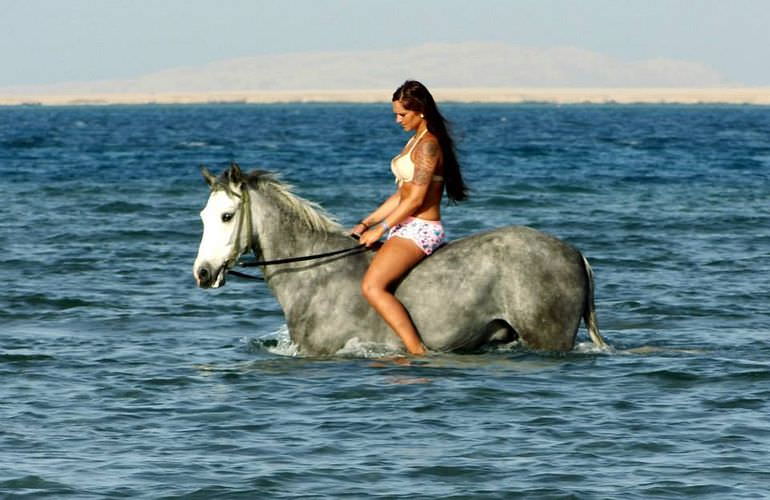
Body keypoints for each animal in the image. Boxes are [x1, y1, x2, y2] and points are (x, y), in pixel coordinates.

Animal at [192, 164, 608, 356]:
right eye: (203, 216)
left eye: (227, 216)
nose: (203, 273)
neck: (314, 274)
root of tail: (574, 252)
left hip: (548, 337)